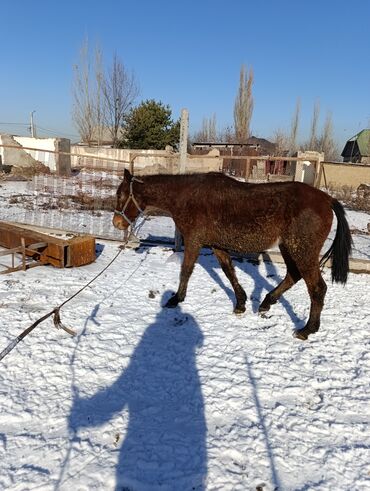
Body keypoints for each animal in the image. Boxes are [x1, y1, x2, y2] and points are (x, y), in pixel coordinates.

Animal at [114, 168, 352, 338]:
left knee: (317, 287)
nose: (116, 223)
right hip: (289, 248)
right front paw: (240, 303)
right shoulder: (217, 245)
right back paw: (266, 303)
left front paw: (176, 299)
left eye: (121, 195)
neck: (187, 197)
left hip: (302, 250)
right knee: (293, 275)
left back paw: (307, 329)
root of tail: (327, 200)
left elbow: (186, 270)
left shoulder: (194, 241)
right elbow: (229, 271)